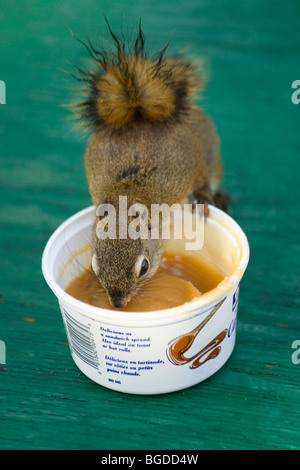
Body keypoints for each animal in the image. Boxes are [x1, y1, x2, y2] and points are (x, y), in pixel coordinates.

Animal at [71, 21, 230, 308]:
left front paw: (202, 198)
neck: (129, 194)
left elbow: (201, 179)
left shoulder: (186, 169)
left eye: (144, 267)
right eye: (94, 266)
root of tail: (138, 114)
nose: (118, 303)